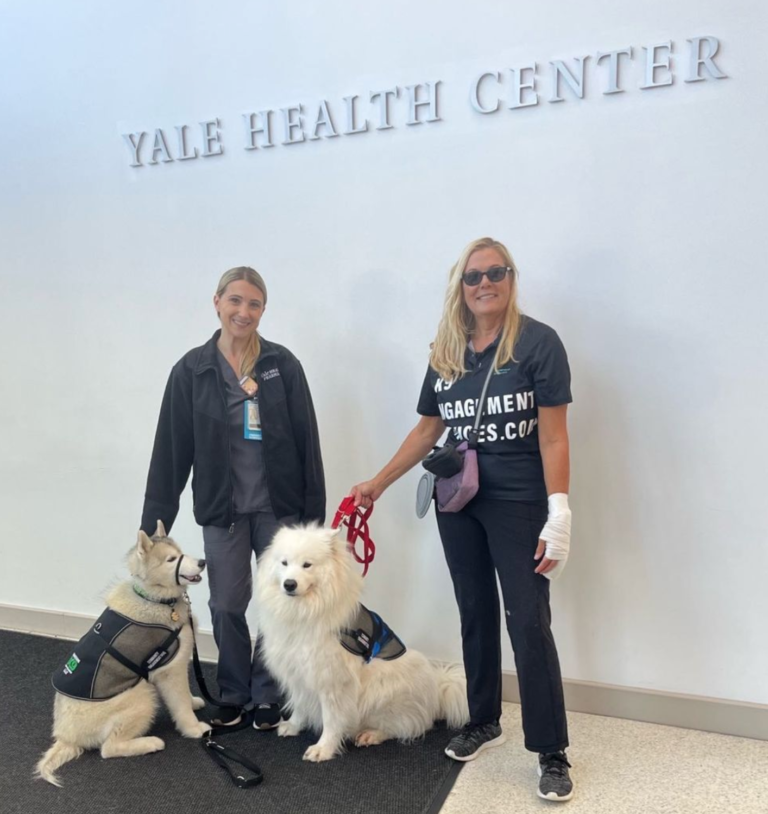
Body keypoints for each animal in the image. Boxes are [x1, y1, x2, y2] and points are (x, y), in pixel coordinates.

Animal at [35, 524, 210, 788]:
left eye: (181, 553)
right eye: (171, 559)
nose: (202, 562)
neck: (155, 598)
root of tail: (66, 736)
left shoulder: (177, 665)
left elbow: (184, 694)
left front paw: (193, 702)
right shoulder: (170, 670)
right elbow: (179, 702)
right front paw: (193, 727)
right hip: (141, 694)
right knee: (108, 748)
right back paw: (150, 743)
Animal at [255, 524, 468, 760]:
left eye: (307, 564)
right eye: (284, 563)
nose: (289, 584)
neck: (304, 611)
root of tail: (438, 689)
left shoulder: (332, 680)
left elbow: (331, 719)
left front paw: (323, 749)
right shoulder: (299, 673)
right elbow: (300, 705)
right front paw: (293, 726)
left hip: (382, 688)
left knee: (409, 725)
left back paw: (370, 735)